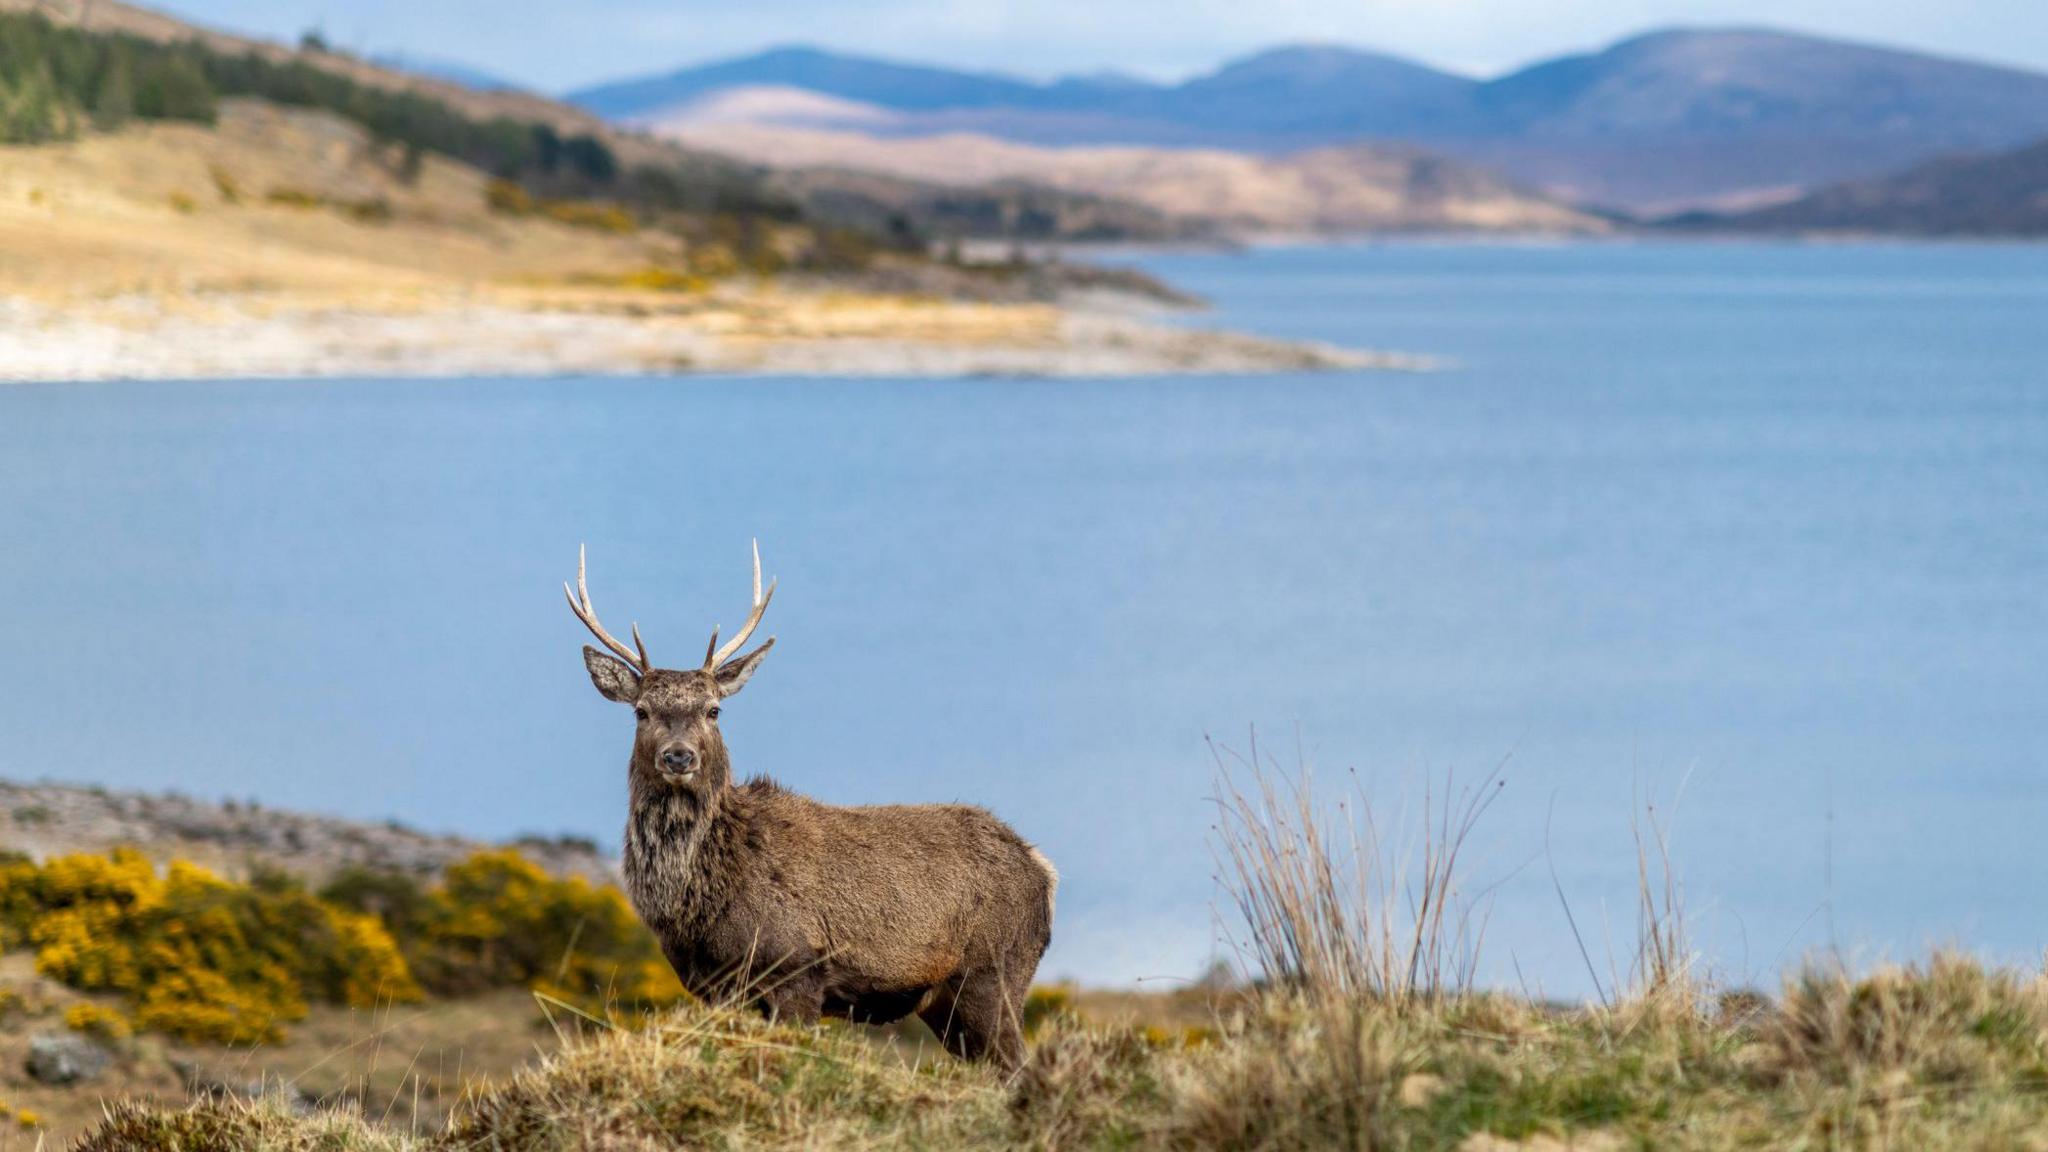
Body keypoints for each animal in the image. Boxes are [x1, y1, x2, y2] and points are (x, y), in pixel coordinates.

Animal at [565, 543, 1057, 1069]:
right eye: (641, 711)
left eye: (713, 709)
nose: (679, 756)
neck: (699, 905)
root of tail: (1043, 871)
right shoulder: (714, 986)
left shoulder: (797, 966)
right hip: (949, 1003)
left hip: (995, 971)